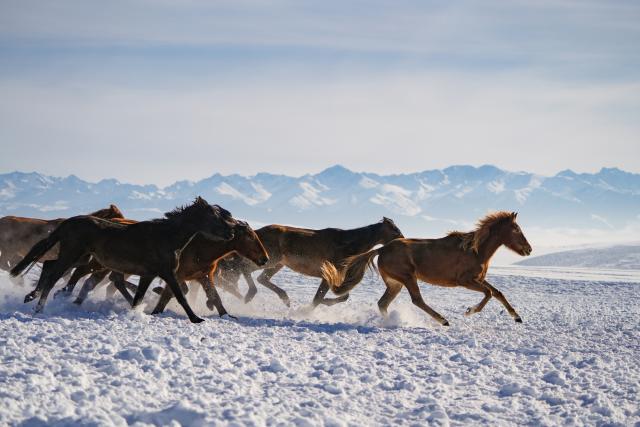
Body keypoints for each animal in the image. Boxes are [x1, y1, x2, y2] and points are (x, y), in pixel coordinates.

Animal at [10, 197, 235, 323]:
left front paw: (135, 314)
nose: (231, 233)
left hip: (80, 257)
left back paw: (31, 297)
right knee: (53, 276)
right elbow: (180, 296)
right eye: (215, 216)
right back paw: (39, 308)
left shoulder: (148, 274)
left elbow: (138, 297)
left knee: (49, 267)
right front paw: (196, 319)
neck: (167, 237)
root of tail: (68, 222)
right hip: (74, 255)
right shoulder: (168, 272)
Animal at [215, 218, 404, 307]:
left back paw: (284, 299)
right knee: (243, 268)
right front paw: (305, 311)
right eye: (395, 229)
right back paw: (249, 294)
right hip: (268, 260)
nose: (403, 239)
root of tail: (257, 232)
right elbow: (318, 298)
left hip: (277, 264)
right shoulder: (327, 275)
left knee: (261, 278)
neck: (348, 242)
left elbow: (343, 297)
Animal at [322, 211, 532, 325]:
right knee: (417, 300)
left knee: (383, 303)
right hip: (407, 278)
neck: (476, 250)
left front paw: (517, 317)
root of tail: (382, 248)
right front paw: (469, 311)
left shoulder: (478, 279)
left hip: (395, 283)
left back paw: (391, 322)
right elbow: (488, 293)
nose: (529, 249)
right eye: (516, 229)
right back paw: (443, 320)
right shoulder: (465, 281)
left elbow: (497, 292)